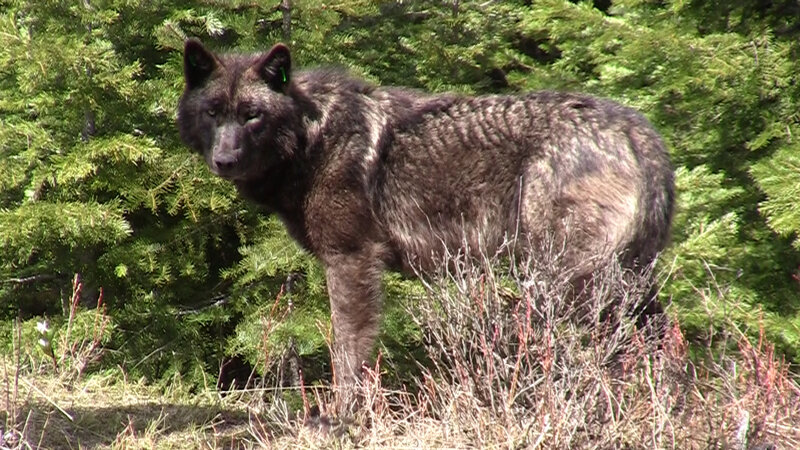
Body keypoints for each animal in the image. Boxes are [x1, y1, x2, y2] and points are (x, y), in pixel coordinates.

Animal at [177, 39, 675, 406]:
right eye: (213, 113)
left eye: (252, 116)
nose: (224, 160)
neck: (310, 137)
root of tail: (638, 128)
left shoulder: (350, 260)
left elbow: (347, 355)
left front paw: (342, 419)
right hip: (628, 285)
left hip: (571, 286)